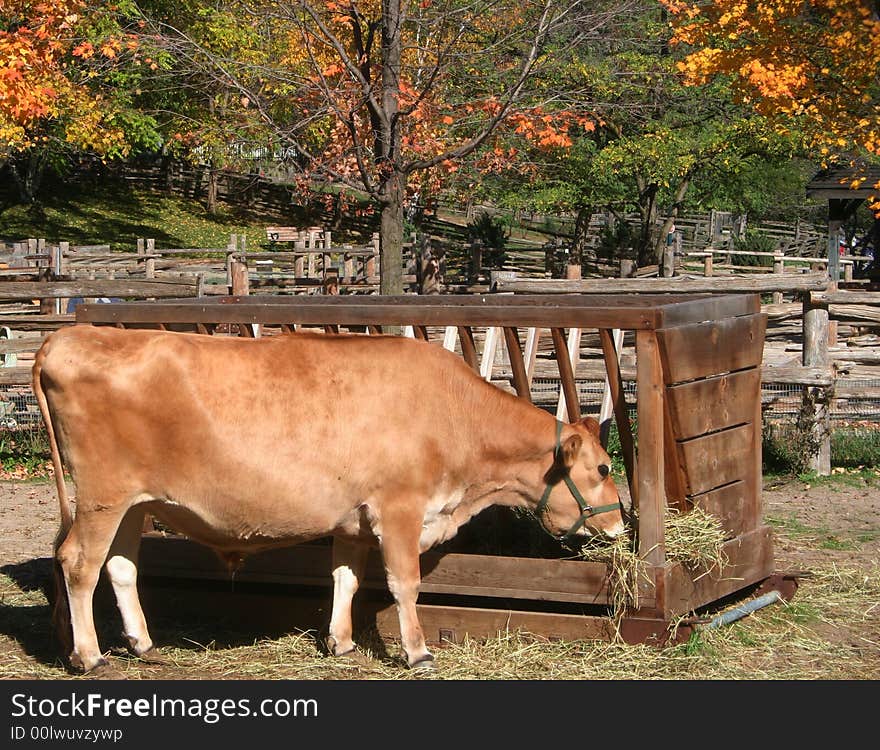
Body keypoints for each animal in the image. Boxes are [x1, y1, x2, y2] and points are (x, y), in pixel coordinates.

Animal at [32, 328, 624, 676]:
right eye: (603, 469)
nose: (620, 524)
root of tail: (71, 333)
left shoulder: (352, 518)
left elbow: (346, 578)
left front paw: (340, 642)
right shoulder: (400, 508)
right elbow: (405, 583)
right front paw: (417, 652)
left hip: (134, 504)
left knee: (120, 567)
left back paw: (143, 643)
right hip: (102, 496)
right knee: (78, 564)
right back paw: (89, 656)